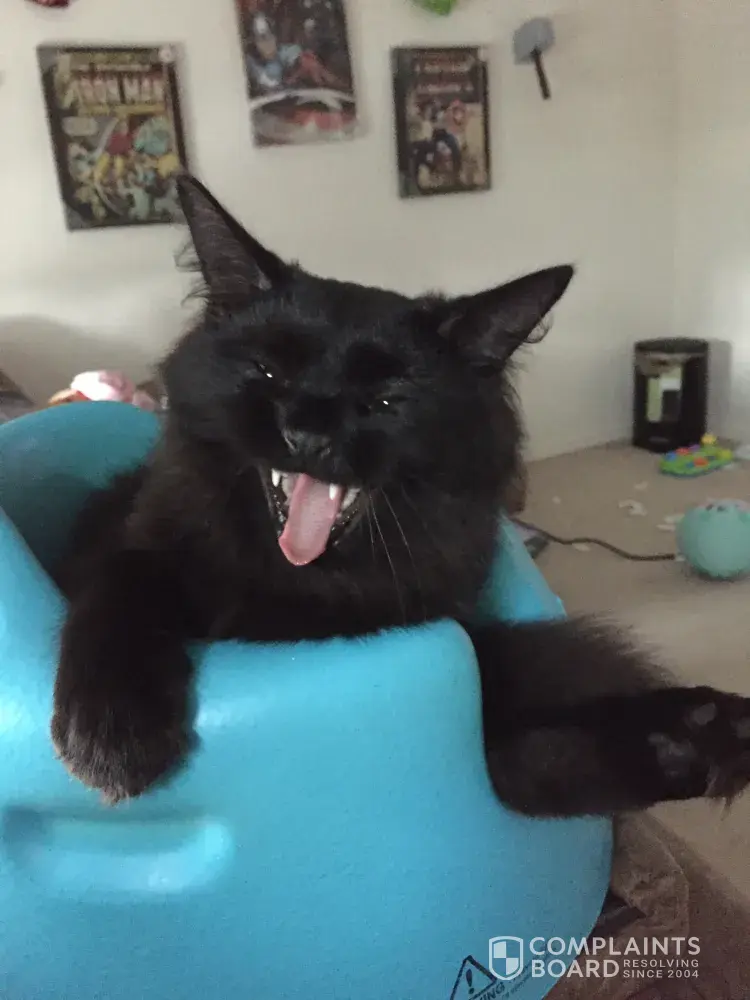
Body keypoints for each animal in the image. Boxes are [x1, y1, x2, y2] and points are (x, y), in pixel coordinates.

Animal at [52, 174, 750, 811]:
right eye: (269, 373)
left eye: (386, 401)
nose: (307, 435)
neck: (304, 580)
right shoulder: (137, 545)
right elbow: (123, 587)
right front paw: (112, 734)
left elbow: (536, 736)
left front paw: (693, 735)